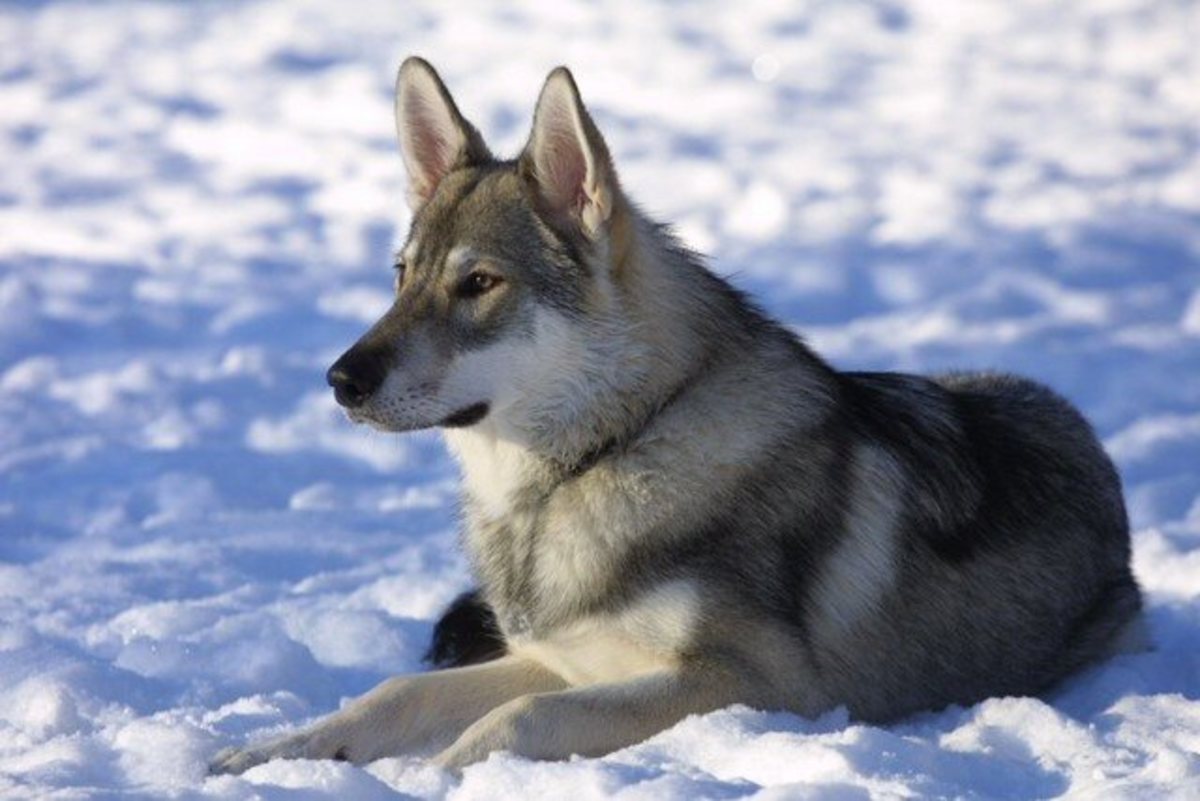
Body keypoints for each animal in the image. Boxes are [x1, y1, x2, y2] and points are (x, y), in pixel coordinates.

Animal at [208, 57, 1142, 777]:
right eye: (401, 277)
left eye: (478, 284)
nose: (340, 379)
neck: (596, 460)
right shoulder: (552, 659)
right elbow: (393, 692)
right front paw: (275, 752)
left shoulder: (764, 686)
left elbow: (516, 721)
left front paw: (431, 776)